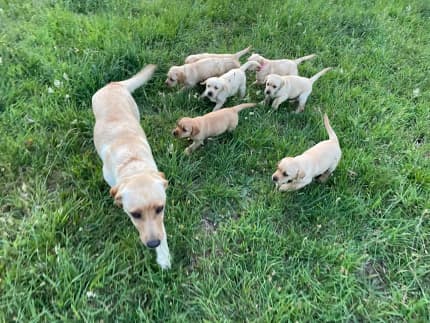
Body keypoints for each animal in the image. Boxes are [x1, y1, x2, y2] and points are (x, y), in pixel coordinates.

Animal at [93, 64, 171, 270]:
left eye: (160, 209)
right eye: (135, 214)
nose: (153, 244)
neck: (133, 164)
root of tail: (113, 84)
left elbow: (162, 230)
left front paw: (164, 256)